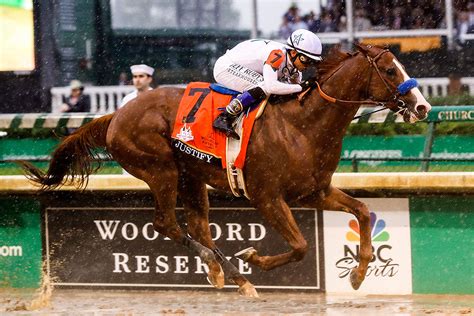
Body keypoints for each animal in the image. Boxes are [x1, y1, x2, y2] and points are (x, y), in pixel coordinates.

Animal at [21, 45, 430, 298]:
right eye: (390, 69)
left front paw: (360, 273)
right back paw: (230, 273)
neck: (302, 125)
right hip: (161, 170)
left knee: (198, 226)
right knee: (167, 224)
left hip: (191, 176)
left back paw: (224, 273)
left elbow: (363, 211)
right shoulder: (267, 197)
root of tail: (116, 114)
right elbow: (299, 246)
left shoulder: (314, 191)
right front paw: (253, 257)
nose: (423, 107)